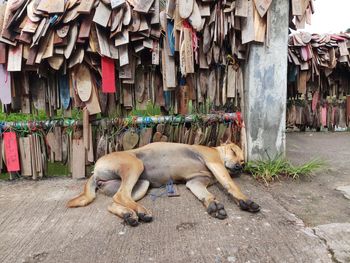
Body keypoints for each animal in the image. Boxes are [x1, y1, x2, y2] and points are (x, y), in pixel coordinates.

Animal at [67, 142, 260, 227]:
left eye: (243, 161)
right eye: (233, 151)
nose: (239, 167)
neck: (217, 152)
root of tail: (95, 172)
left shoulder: (196, 182)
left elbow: (206, 195)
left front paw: (213, 205)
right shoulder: (215, 164)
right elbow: (230, 185)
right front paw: (245, 200)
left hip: (141, 185)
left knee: (115, 201)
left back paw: (129, 215)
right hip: (135, 165)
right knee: (121, 196)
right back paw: (141, 211)